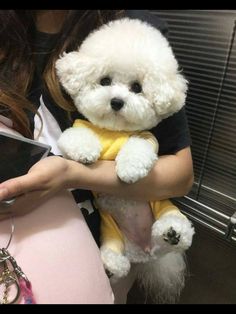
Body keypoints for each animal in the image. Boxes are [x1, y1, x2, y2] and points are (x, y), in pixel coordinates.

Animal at [56, 18, 195, 302]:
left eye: (137, 88)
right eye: (104, 80)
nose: (117, 101)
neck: (113, 131)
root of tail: (145, 253)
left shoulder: (146, 139)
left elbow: (137, 148)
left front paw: (129, 169)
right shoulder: (79, 127)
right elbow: (75, 136)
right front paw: (85, 151)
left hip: (162, 206)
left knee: (178, 230)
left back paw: (172, 234)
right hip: (111, 233)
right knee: (116, 258)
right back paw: (111, 267)